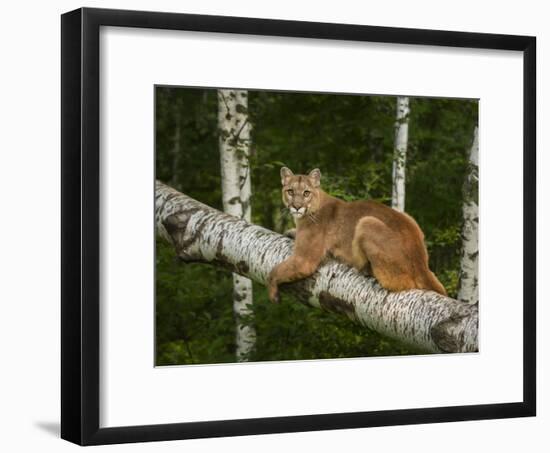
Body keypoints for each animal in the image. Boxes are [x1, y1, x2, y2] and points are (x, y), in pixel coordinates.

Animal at [268, 167, 448, 304]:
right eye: (290, 191)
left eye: (306, 193)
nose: (297, 207)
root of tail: (421, 262)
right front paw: (291, 232)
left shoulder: (303, 260)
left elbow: (275, 271)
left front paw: (272, 293)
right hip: (408, 217)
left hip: (366, 222)